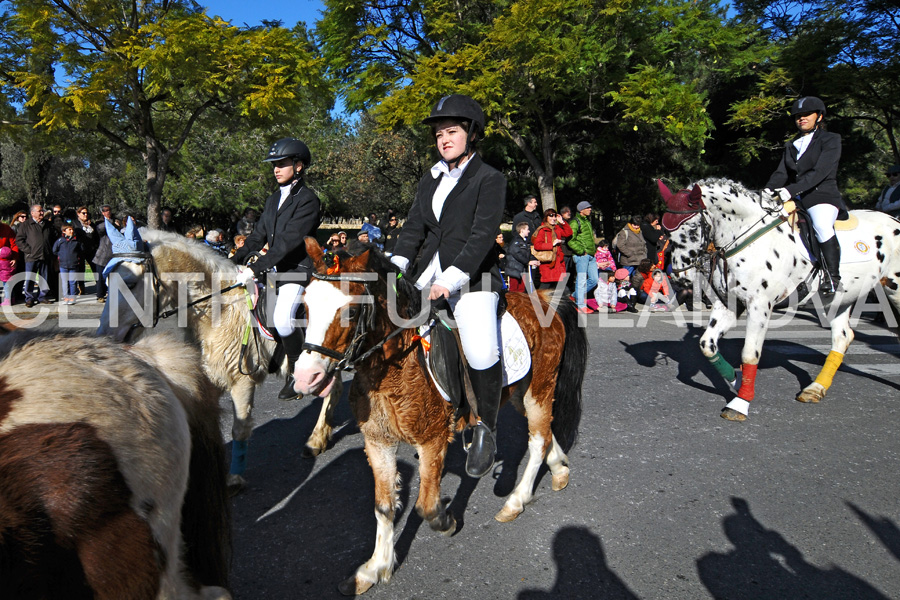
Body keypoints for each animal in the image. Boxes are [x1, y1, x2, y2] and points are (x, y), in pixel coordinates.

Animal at [296, 240, 592, 596]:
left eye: (351, 312)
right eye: (305, 307)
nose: (305, 378)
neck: (391, 369)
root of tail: (545, 299)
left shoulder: (433, 438)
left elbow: (425, 505)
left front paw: (446, 522)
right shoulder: (378, 441)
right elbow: (383, 507)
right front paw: (373, 569)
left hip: (539, 390)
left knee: (537, 440)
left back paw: (516, 501)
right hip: (521, 393)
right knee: (547, 433)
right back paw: (559, 468)